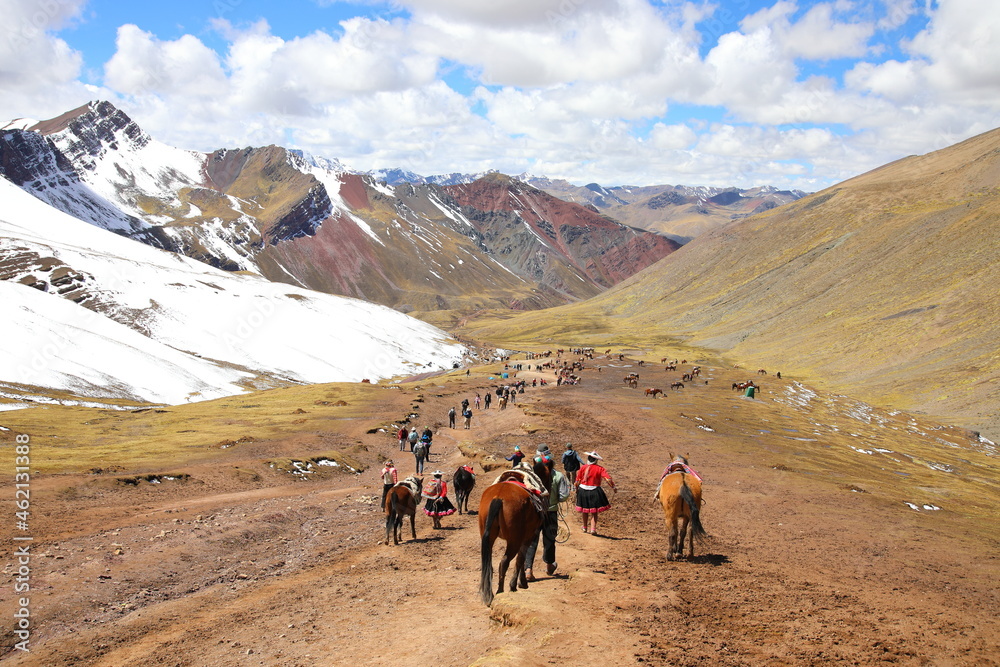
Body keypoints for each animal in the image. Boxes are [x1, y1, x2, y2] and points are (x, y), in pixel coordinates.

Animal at [478, 460, 556, 604]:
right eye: (550, 478)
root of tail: (498, 497)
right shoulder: (530, 536)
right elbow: (522, 558)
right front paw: (519, 583)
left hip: (488, 537)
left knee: (489, 564)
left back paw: (490, 594)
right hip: (514, 540)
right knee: (504, 561)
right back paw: (500, 591)